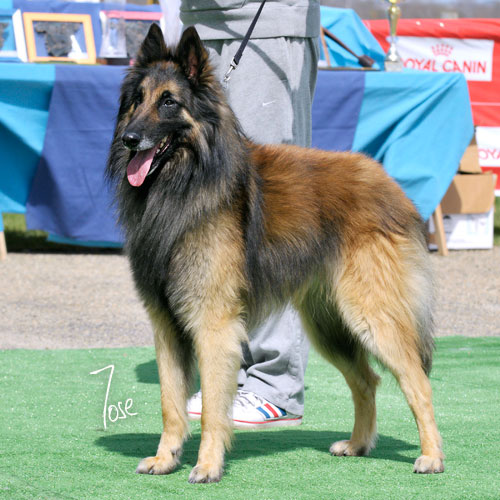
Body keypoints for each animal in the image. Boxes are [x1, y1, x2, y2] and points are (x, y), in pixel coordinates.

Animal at [107, 24, 444, 483]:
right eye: (136, 100)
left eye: (169, 102)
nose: (129, 138)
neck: (186, 182)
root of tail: (391, 185)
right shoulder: (166, 325)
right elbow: (170, 403)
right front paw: (165, 458)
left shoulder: (213, 325)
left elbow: (211, 408)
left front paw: (207, 465)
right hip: (330, 326)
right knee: (367, 381)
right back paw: (358, 445)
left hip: (371, 316)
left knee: (418, 383)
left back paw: (432, 457)